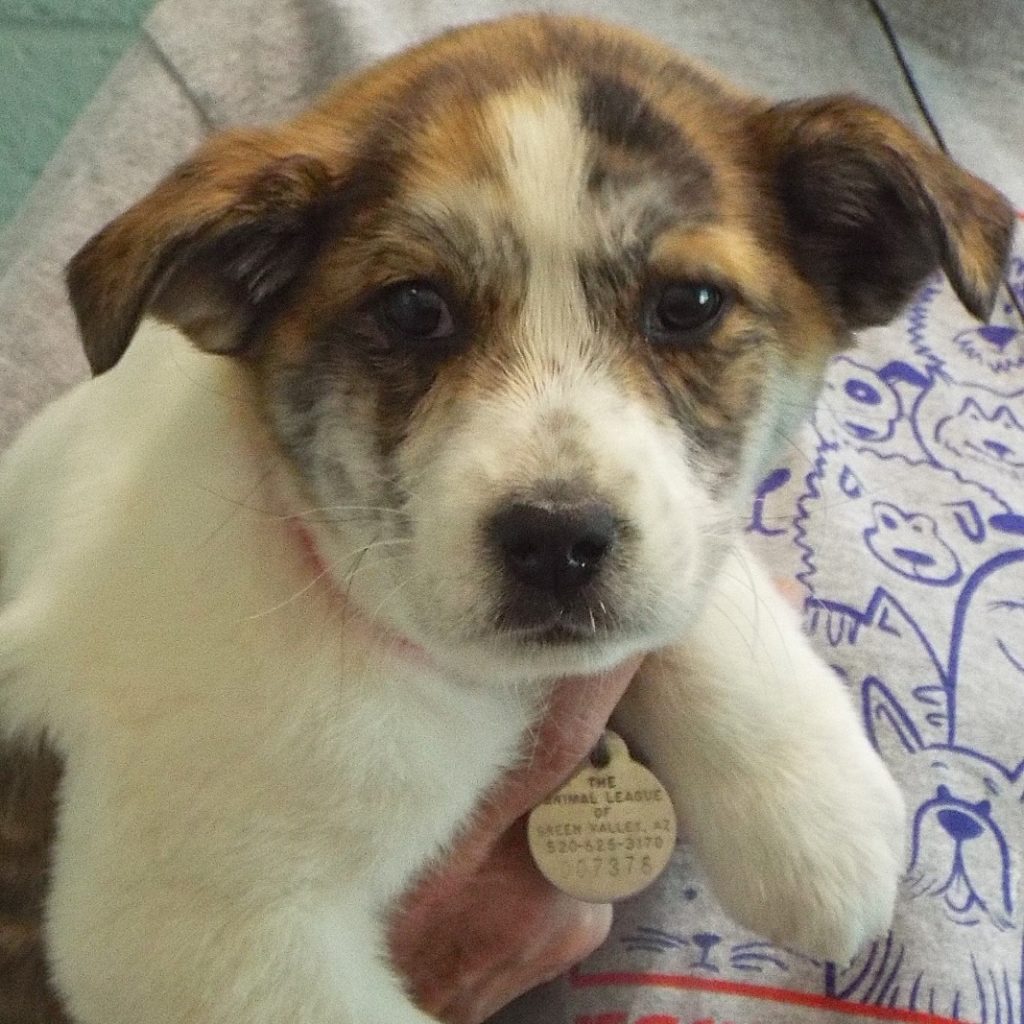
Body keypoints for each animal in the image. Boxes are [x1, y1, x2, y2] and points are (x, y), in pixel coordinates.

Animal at [0, 14, 1014, 1024]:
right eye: (415, 309)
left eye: (688, 304)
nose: (558, 542)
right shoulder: (207, 939)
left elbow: (691, 580)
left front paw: (809, 803)